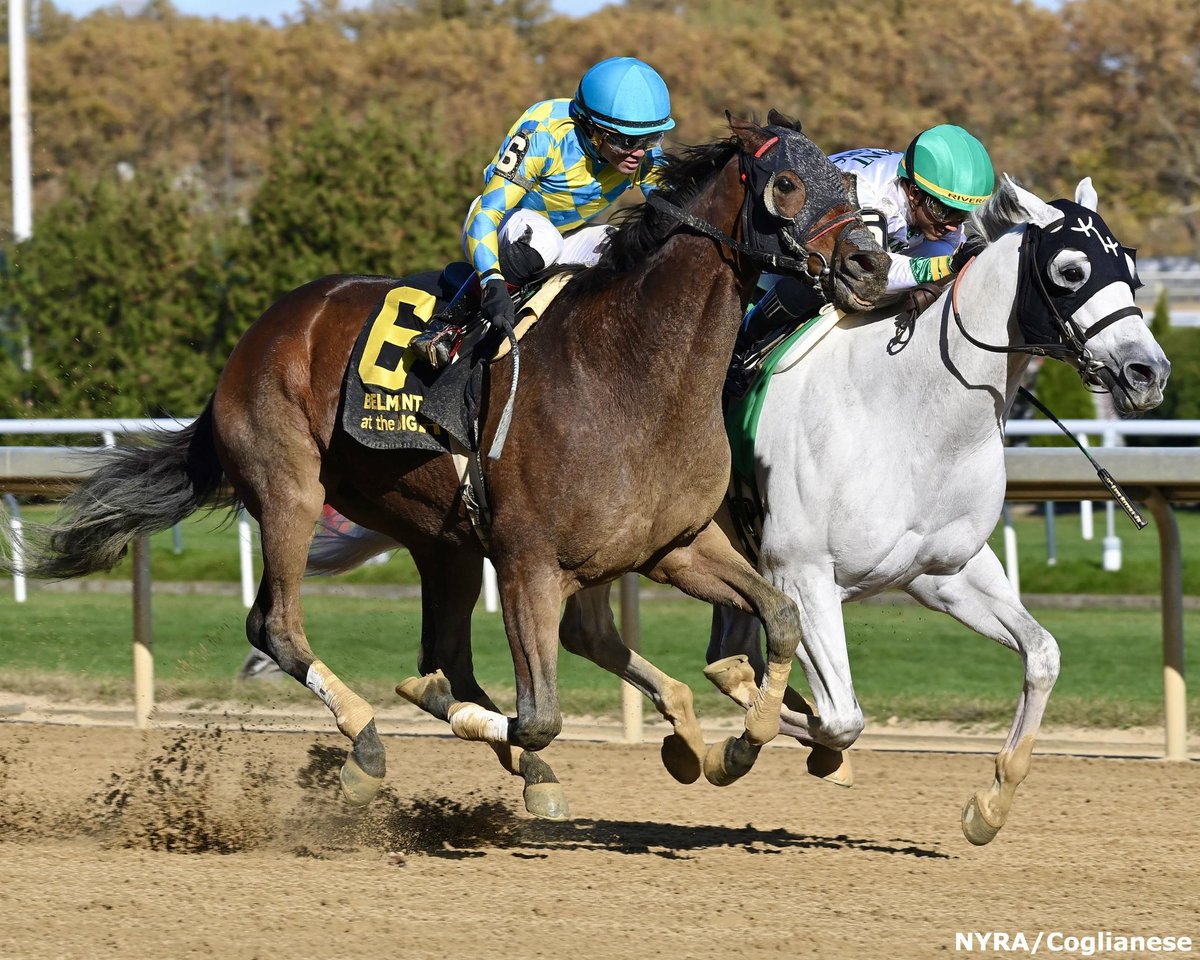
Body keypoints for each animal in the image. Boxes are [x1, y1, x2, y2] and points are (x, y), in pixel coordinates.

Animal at [4, 111, 890, 817]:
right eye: (785, 183)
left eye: (845, 181)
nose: (869, 266)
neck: (631, 370)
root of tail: (264, 330)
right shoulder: (531, 562)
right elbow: (539, 711)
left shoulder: (675, 547)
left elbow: (779, 617)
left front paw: (745, 740)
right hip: (292, 490)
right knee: (278, 625)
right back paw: (367, 744)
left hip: (443, 540)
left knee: (452, 655)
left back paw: (532, 766)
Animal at [313, 173, 1169, 845]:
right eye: (1070, 267)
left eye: (1130, 267)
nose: (1148, 372)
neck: (912, 411)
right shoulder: (804, 572)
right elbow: (841, 714)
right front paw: (752, 745)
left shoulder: (945, 571)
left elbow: (1042, 654)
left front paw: (988, 805)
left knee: (599, 633)